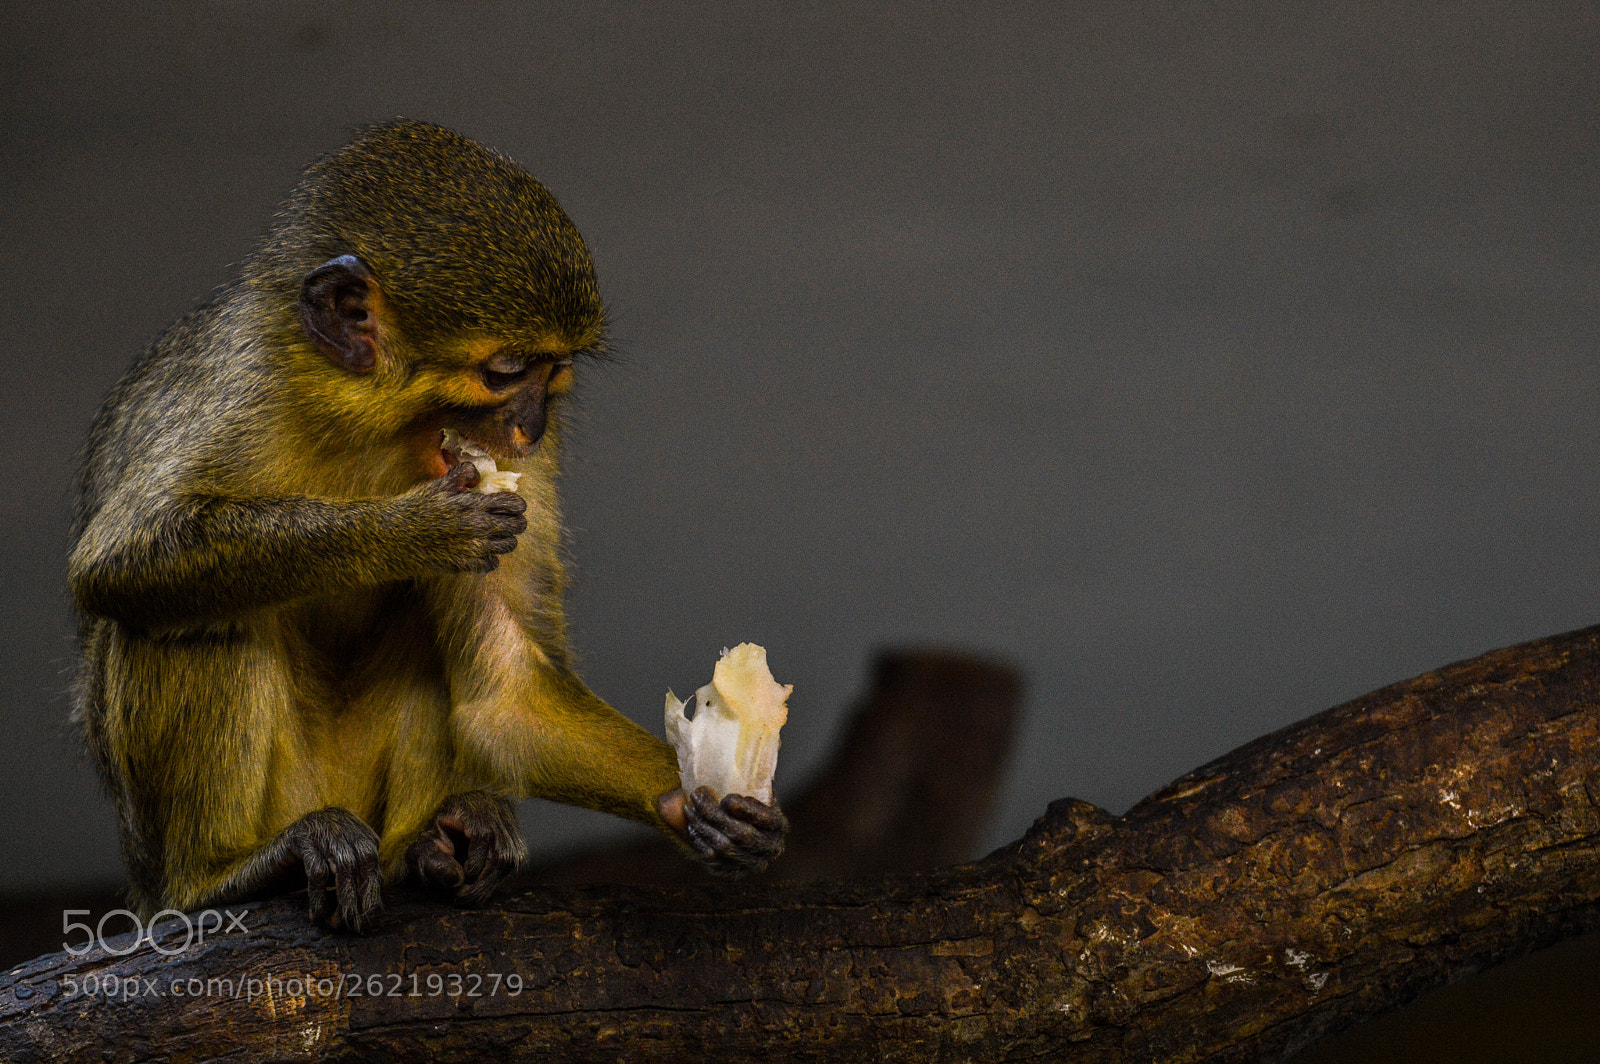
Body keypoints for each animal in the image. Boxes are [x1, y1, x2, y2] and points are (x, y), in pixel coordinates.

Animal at [69, 120, 788, 932]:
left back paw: (434, 847)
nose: (530, 427)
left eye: (553, 373)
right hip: (186, 842)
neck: (374, 419)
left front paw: (693, 803)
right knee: (197, 619)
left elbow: (506, 698)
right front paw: (413, 533)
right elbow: (120, 560)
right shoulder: (249, 384)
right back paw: (219, 874)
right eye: (506, 372)